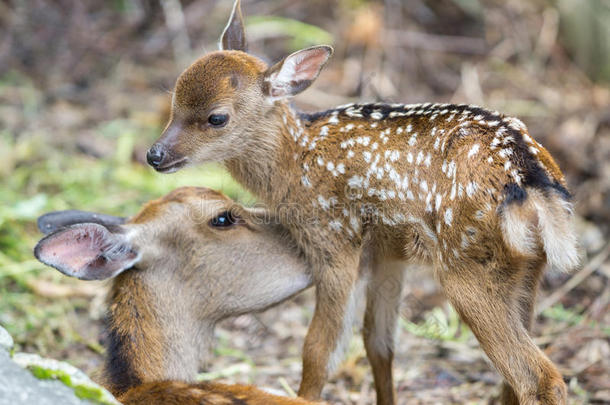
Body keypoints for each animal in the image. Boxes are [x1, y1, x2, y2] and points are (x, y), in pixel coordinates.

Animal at [145, 2, 576, 400]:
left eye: (217, 118)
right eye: (174, 101)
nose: (154, 155)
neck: (296, 161)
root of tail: (531, 178)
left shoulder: (334, 240)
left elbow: (318, 352)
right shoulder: (384, 251)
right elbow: (378, 343)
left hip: (466, 264)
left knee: (539, 376)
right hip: (524, 268)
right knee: (514, 375)